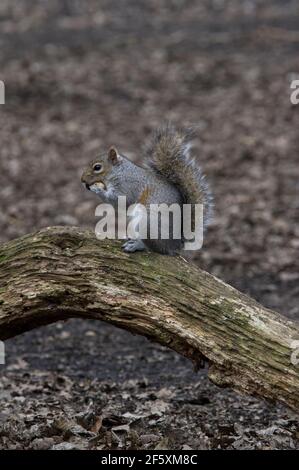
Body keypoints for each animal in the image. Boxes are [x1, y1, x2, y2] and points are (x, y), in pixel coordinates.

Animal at [82, 126, 213, 253]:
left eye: (97, 167)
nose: (82, 180)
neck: (119, 172)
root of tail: (174, 246)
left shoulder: (129, 186)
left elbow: (121, 200)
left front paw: (96, 188)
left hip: (148, 223)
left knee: (153, 248)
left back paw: (137, 245)